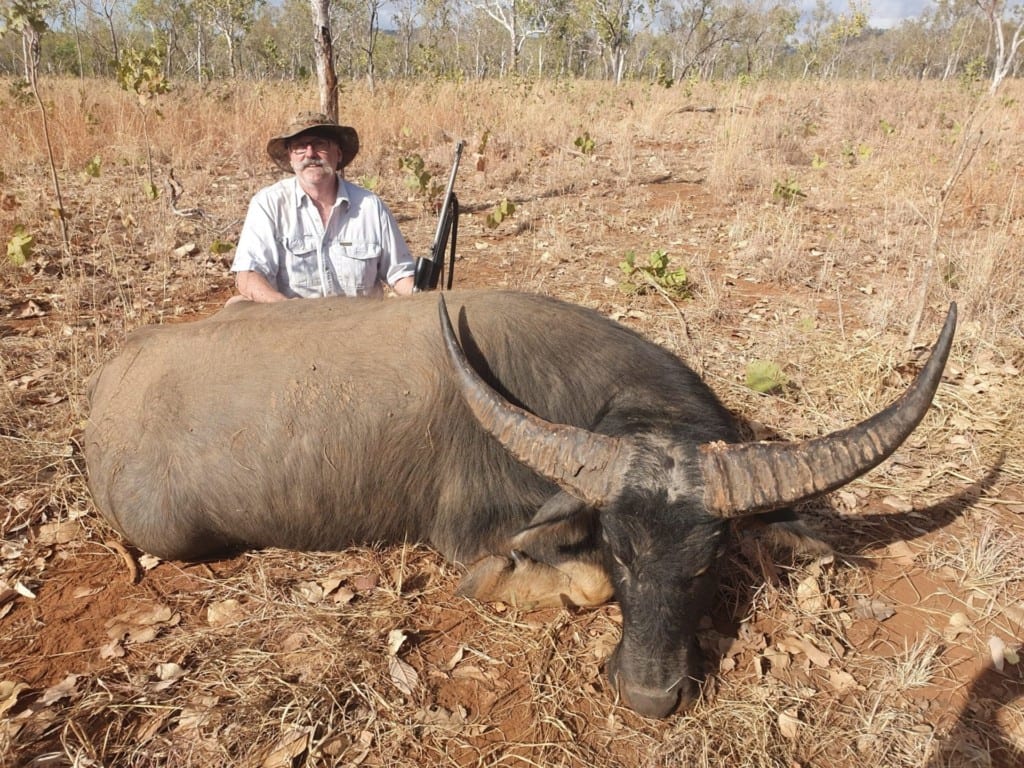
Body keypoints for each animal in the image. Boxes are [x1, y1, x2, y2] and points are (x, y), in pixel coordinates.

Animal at [83, 290, 954, 720]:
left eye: (706, 561)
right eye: (620, 548)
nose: (650, 698)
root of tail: (108, 386)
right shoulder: (476, 529)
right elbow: (559, 574)